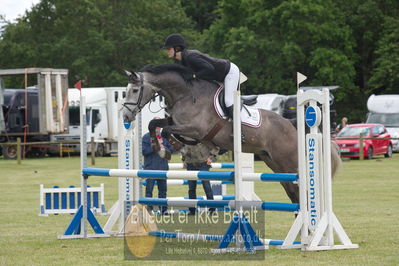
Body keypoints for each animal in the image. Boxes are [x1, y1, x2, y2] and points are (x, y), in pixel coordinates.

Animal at [122, 64, 340, 204]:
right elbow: (154, 124)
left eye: (134, 90)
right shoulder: (176, 122)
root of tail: (291, 124)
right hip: (273, 162)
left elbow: (168, 131)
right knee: (292, 191)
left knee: (300, 187)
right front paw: (158, 146)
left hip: (288, 161)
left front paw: (164, 151)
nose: (125, 116)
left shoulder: (195, 129)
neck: (185, 94)